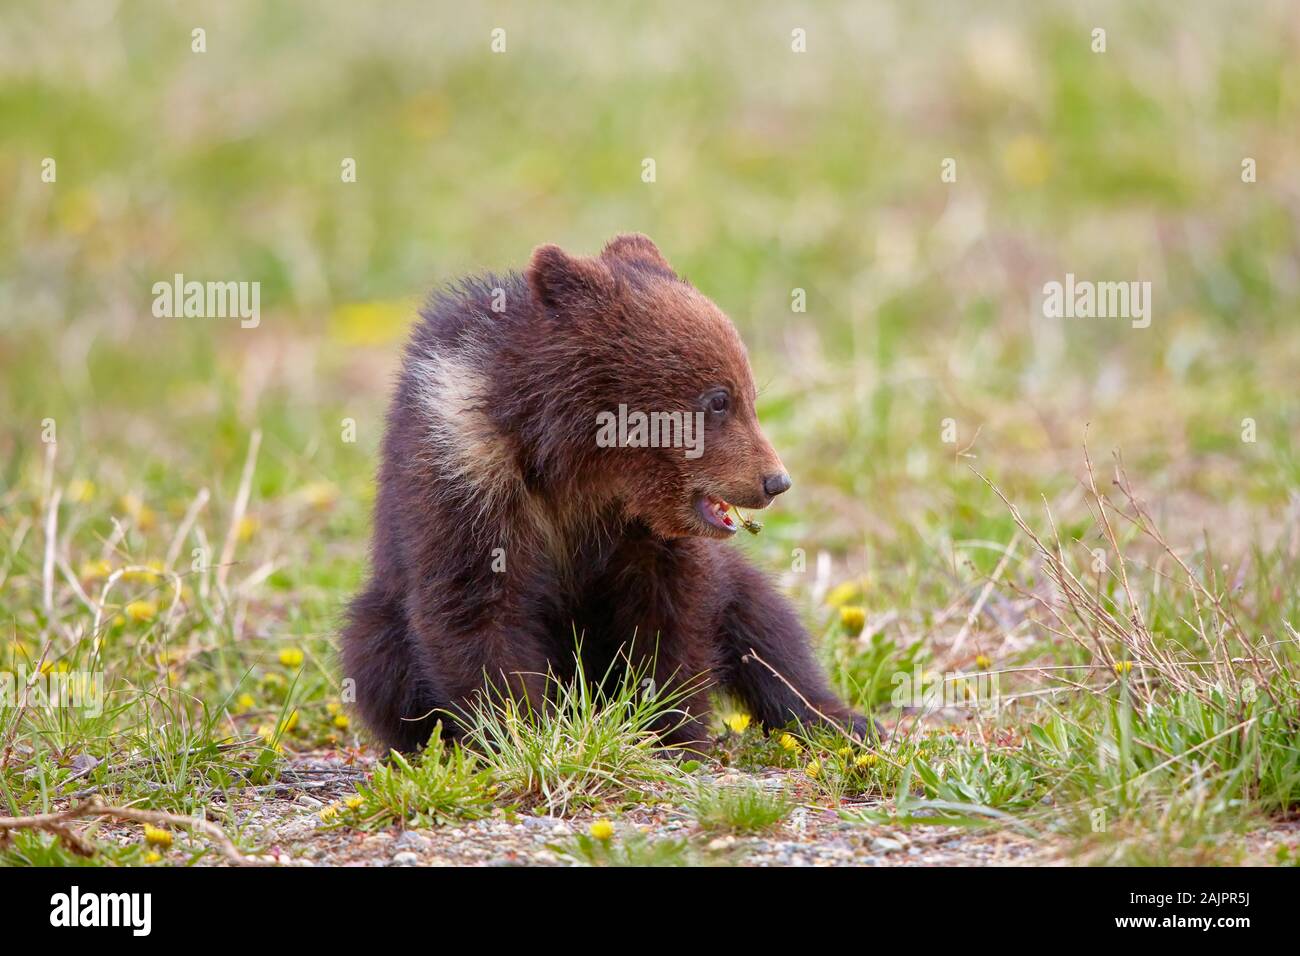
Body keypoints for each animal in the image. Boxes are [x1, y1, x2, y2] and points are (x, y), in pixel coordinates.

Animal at [345, 235, 873, 749]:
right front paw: (523, 733)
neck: (577, 467)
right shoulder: (464, 477)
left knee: (765, 620)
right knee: (374, 653)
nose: (775, 481)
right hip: (382, 616)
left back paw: (838, 720)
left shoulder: (645, 533)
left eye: (749, 396)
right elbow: (474, 609)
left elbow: (673, 611)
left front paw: (670, 729)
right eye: (720, 399)